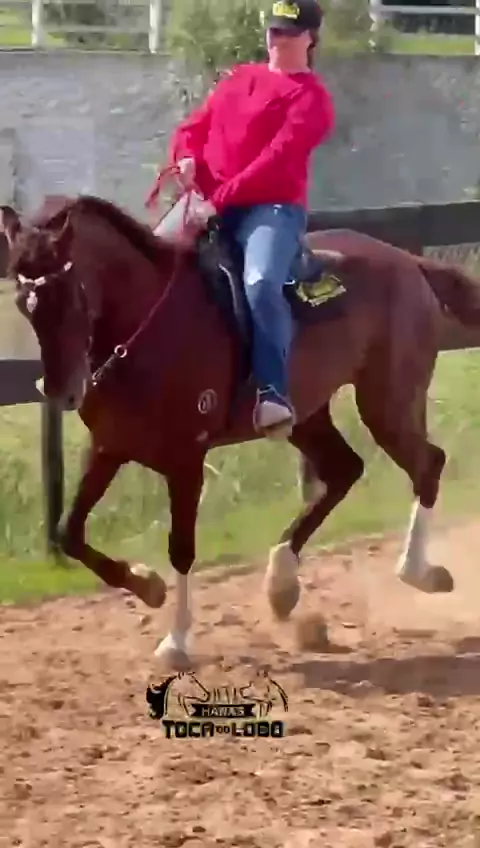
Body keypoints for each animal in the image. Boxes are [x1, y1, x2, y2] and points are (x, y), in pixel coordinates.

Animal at [2, 193, 480, 671]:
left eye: (71, 294)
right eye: (24, 303)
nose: (61, 391)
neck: (149, 325)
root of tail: (408, 261)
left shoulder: (186, 458)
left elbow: (181, 547)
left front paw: (176, 641)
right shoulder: (108, 446)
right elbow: (69, 532)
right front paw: (148, 585)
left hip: (387, 399)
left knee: (427, 465)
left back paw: (418, 572)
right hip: (307, 414)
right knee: (344, 469)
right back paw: (282, 584)